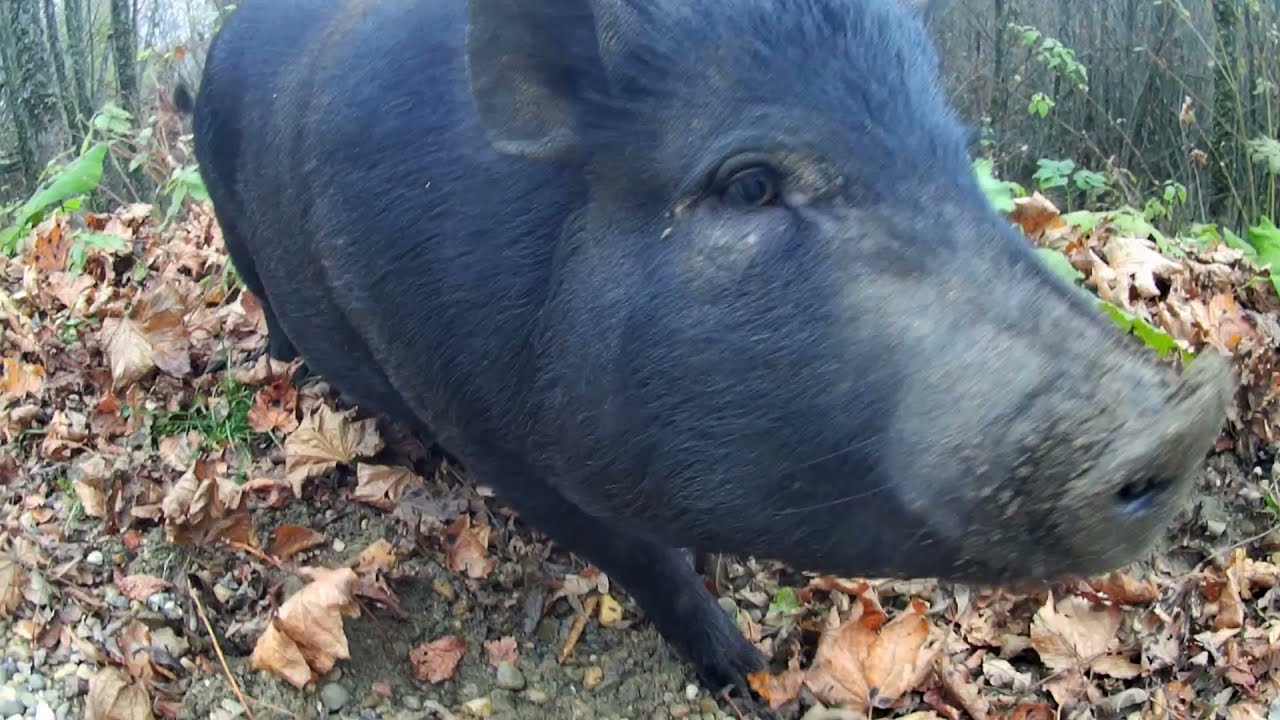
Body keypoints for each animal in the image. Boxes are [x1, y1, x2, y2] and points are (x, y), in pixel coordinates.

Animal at [183, 0, 1232, 692]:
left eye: (950, 155)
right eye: (749, 184)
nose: (1183, 417)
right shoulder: (487, 433)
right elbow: (642, 562)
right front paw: (747, 675)